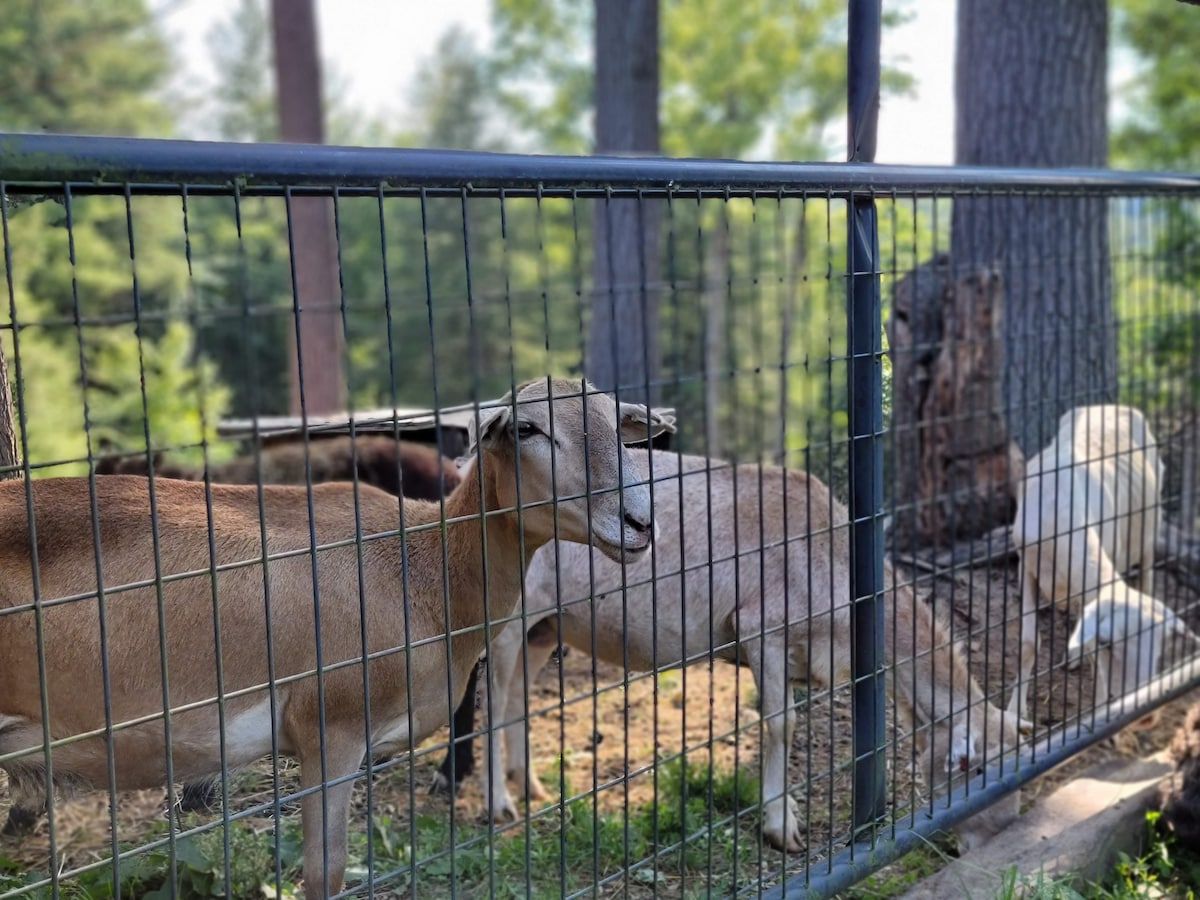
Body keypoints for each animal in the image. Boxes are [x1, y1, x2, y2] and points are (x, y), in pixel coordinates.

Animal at [0, 376, 676, 897]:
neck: (422, 568)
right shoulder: (332, 730)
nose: (638, 523)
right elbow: (323, 874)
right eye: (528, 429)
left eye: (618, 424)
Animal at [475, 453, 1022, 854]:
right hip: (507, 612)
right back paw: (500, 805)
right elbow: (782, 723)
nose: (991, 842)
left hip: (545, 626)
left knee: (520, 693)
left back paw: (531, 786)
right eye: (974, 769)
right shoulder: (763, 625)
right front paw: (782, 828)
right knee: (493, 702)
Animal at [1008, 405, 1166, 724]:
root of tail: (1112, 406)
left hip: (1150, 525)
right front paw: (1014, 712)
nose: (1148, 715)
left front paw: (1100, 711)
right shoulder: (1025, 566)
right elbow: (1028, 643)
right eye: (1116, 645)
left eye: (1157, 648)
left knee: (1146, 575)